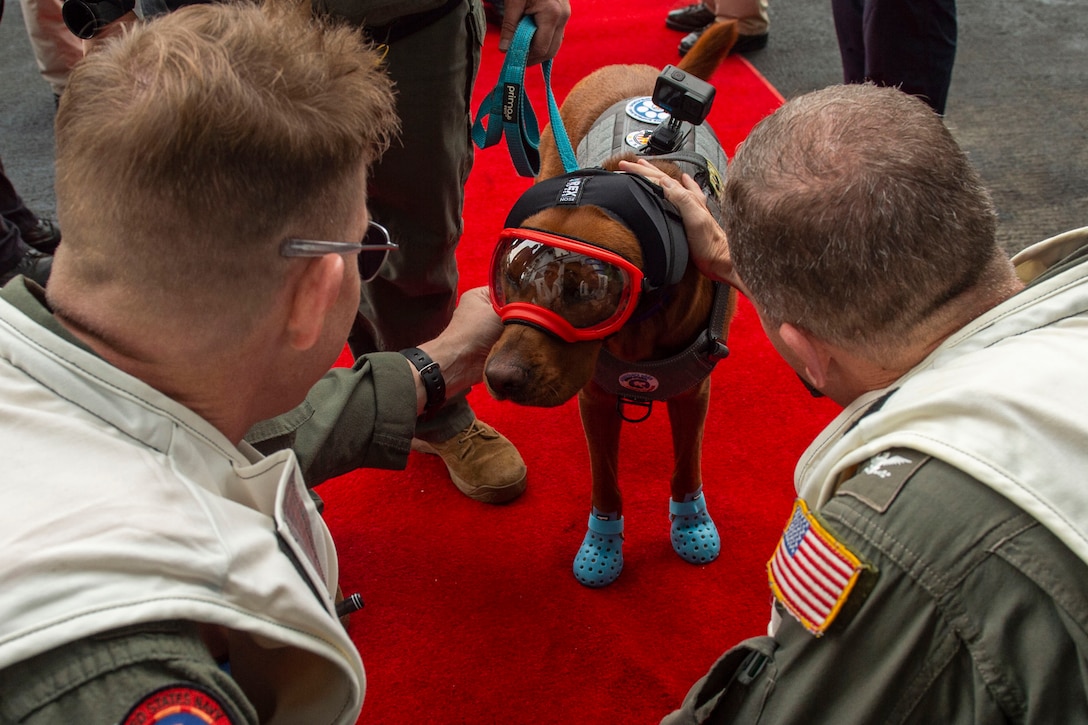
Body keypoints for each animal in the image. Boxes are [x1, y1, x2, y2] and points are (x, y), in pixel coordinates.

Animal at [485, 23, 739, 587]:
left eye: (584, 289)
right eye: (512, 275)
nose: (499, 379)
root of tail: (631, 69)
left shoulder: (693, 394)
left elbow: (686, 465)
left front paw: (690, 522)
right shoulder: (596, 397)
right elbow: (605, 479)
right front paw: (603, 543)